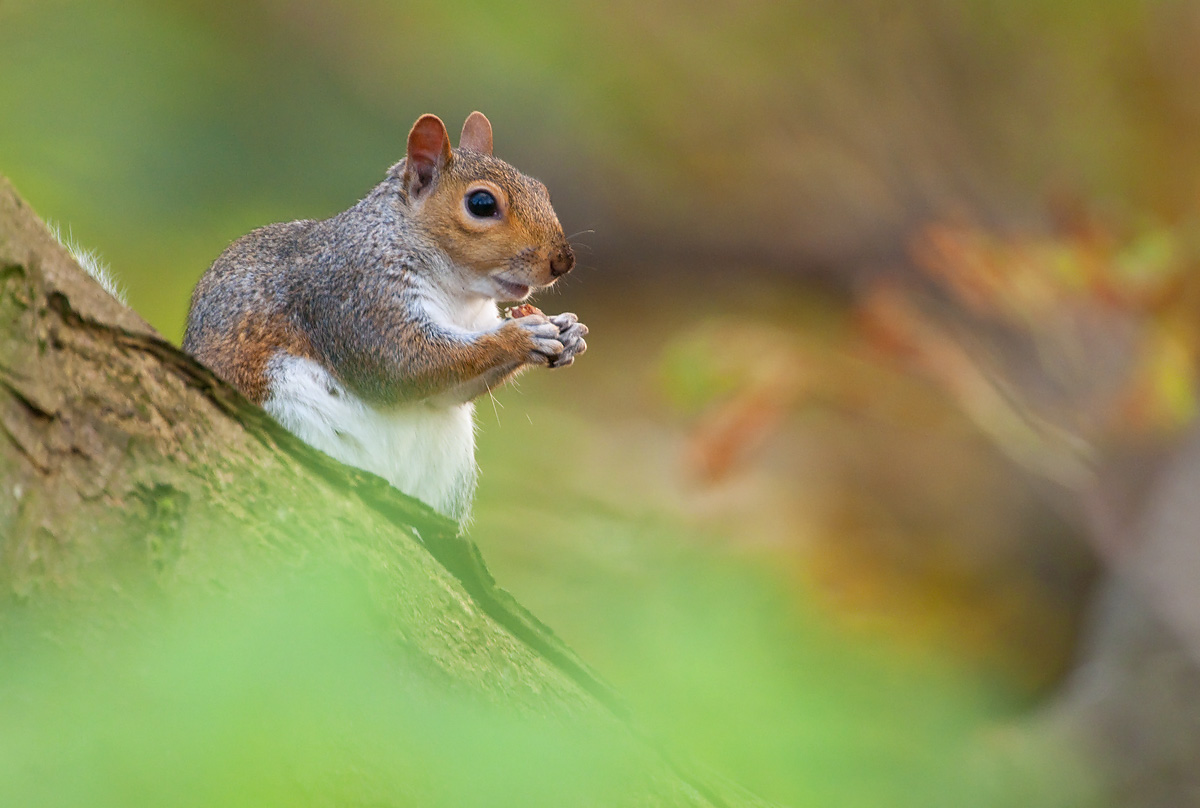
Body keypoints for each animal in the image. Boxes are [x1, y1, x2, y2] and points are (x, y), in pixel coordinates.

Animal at [182, 112, 588, 524]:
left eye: (541, 190)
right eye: (481, 203)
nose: (564, 260)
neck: (459, 294)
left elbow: (447, 389)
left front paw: (570, 332)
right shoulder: (354, 293)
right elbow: (399, 363)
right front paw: (521, 337)